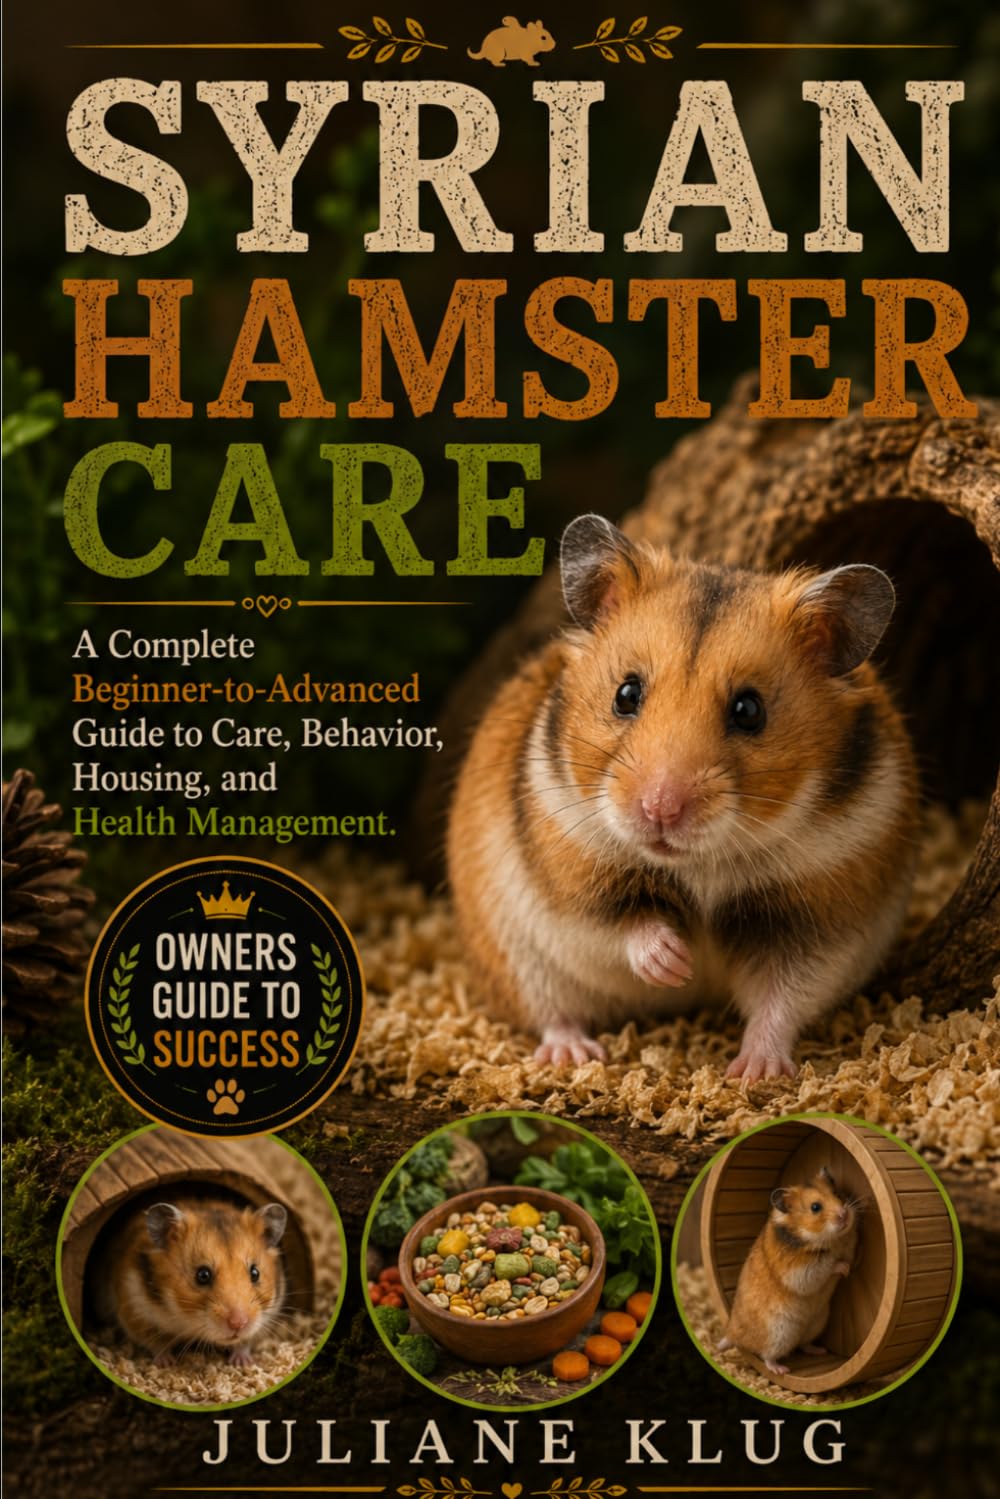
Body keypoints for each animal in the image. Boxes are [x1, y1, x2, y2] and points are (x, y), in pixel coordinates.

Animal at [92, 1195, 287, 1366]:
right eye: (202, 1275)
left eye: (255, 1273)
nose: (238, 1324)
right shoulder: (135, 1310)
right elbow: (157, 1344)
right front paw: (166, 1364)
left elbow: (245, 1342)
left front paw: (242, 1363)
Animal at [447, 513, 918, 1079]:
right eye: (626, 694)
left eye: (749, 710)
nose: (659, 810)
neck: (702, 865)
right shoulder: (573, 883)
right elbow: (622, 928)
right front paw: (676, 964)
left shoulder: (819, 920)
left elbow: (783, 999)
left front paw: (754, 1073)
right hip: (514, 955)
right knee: (551, 1012)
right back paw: (573, 1054)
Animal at [718, 1167, 859, 1375]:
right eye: (815, 1207)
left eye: (836, 1194)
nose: (844, 1214)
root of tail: (732, 1333)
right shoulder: (799, 1271)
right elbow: (826, 1265)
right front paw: (843, 1268)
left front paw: (850, 1265)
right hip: (779, 1334)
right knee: (767, 1355)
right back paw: (781, 1369)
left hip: (816, 1323)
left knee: (803, 1344)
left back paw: (820, 1351)